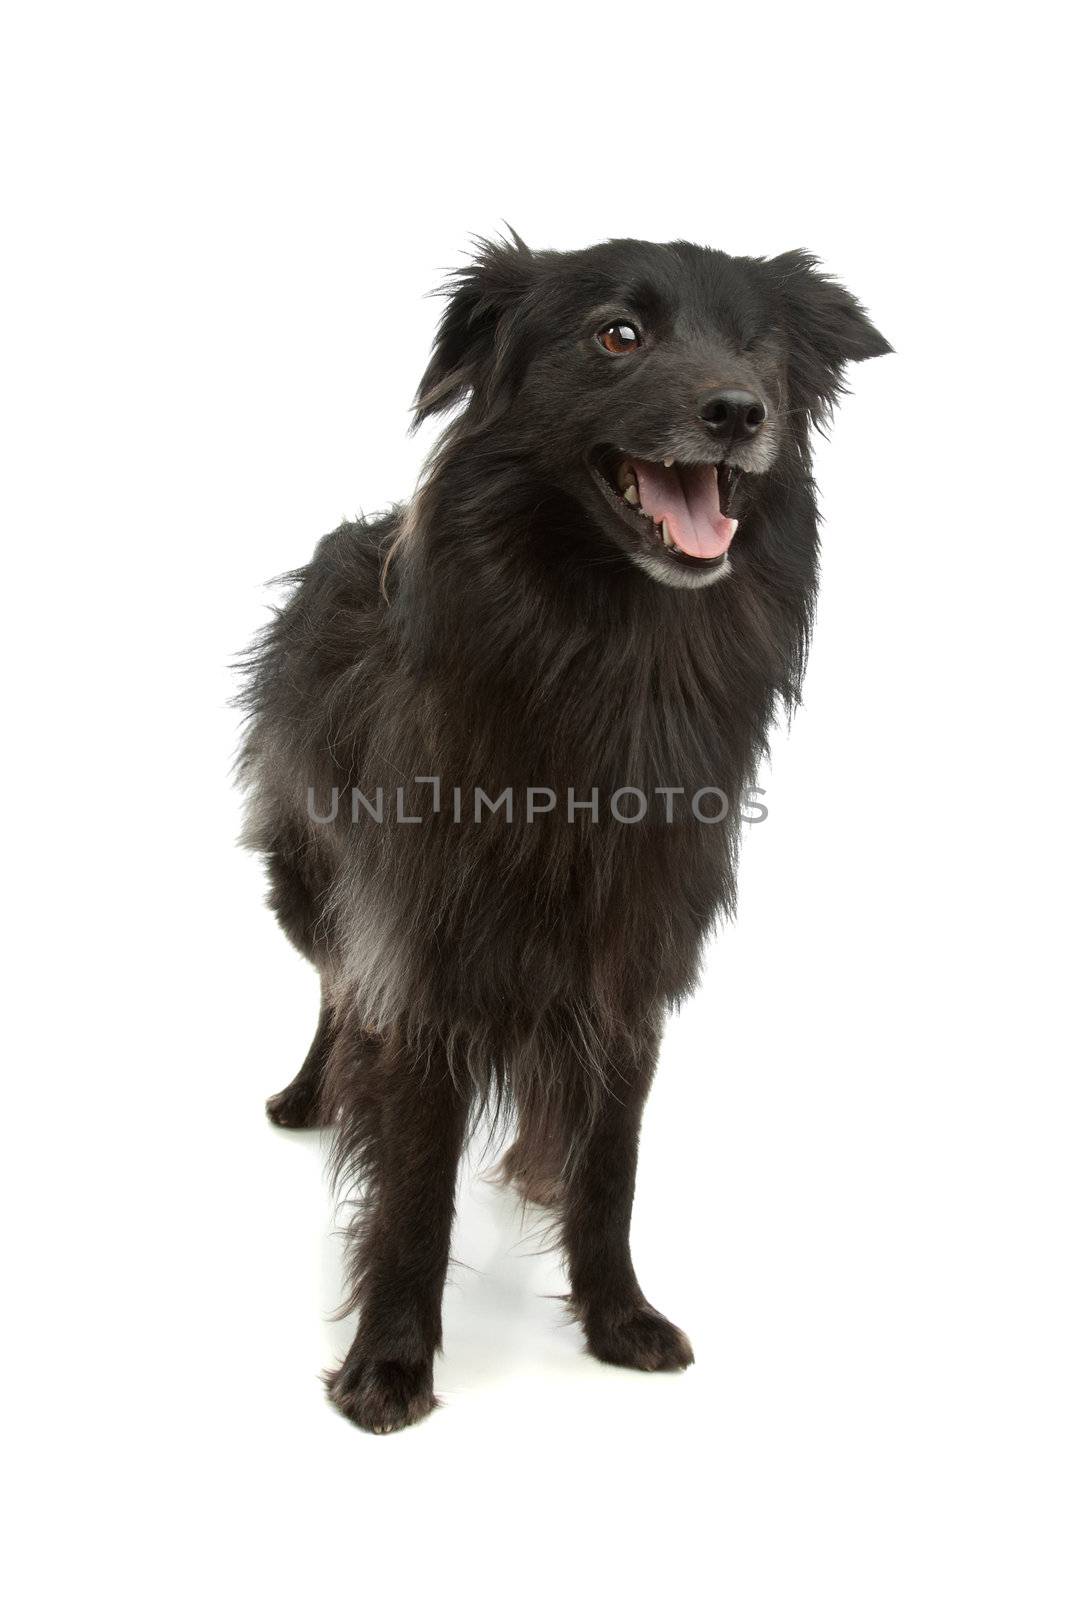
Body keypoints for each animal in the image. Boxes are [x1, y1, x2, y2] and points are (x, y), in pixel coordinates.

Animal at [239, 232, 895, 1433]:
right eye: (615, 335)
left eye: (759, 348)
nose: (736, 410)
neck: (610, 656)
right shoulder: (423, 957)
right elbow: (414, 1187)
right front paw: (389, 1362)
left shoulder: (631, 969)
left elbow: (609, 1168)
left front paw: (616, 1320)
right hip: (307, 883)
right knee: (335, 987)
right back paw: (311, 1094)